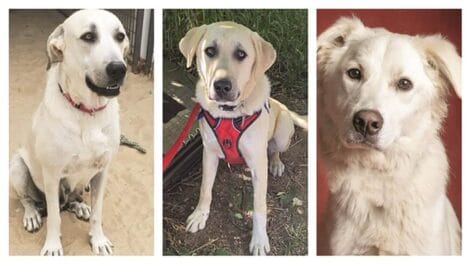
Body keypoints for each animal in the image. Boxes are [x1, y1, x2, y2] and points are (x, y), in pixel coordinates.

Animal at [10, 10, 129, 256]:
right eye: (88, 36)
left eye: (120, 36)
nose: (118, 69)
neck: (87, 113)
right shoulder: (52, 175)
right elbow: (55, 218)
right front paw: (53, 246)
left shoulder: (103, 171)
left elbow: (98, 213)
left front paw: (98, 239)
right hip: (16, 167)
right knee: (27, 199)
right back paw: (32, 215)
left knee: (74, 197)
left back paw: (80, 206)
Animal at [178, 21, 306, 255]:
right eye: (210, 51)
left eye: (241, 54)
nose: (221, 86)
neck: (230, 114)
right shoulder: (208, 154)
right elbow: (205, 189)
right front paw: (200, 215)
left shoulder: (257, 164)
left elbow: (259, 207)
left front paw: (259, 240)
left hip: (282, 133)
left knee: (274, 150)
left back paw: (276, 163)